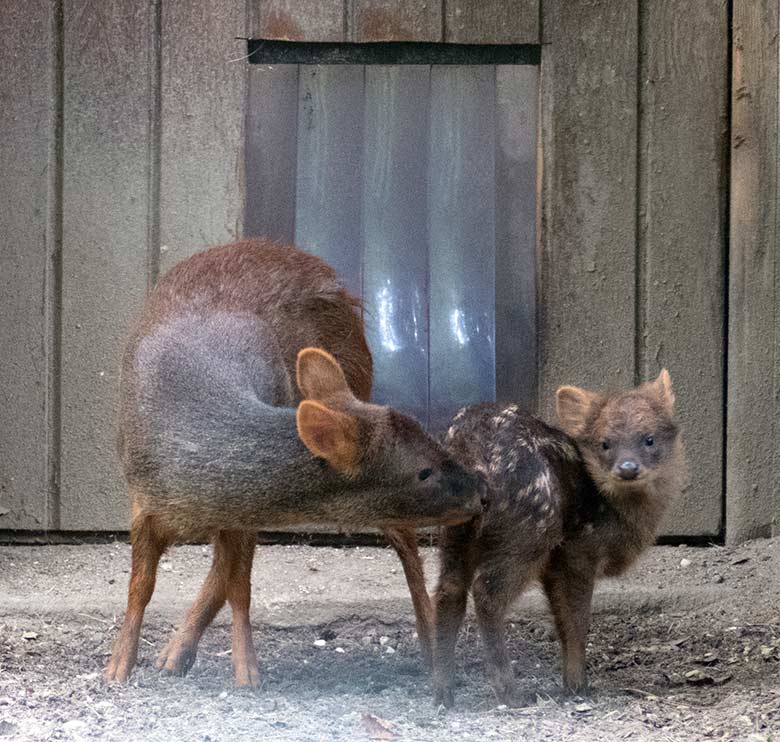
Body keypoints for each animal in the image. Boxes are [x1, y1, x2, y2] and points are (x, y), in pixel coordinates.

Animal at [103, 241, 482, 688]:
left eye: (435, 444)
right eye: (423, 471)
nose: (480, 491)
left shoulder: (242, 513)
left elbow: (240, 586)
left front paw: (247, 673)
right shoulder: (144, 501)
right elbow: (141, 587)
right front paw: (118, 666)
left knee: (406, 545)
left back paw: (434, 657)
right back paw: (173, 655)